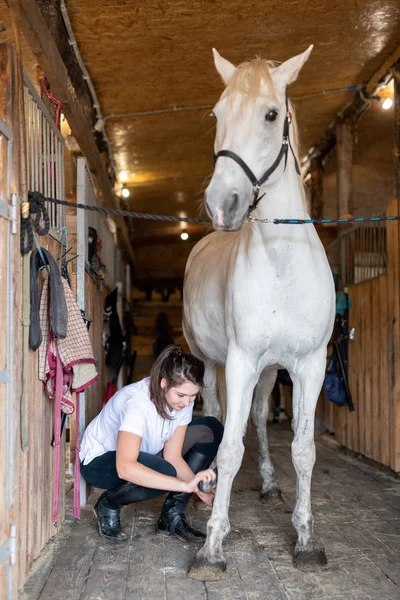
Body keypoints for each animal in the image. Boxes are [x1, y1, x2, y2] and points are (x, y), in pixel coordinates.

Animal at [183, 44, 336, 580]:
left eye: (271, 114)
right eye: (216, 115)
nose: (222, 204)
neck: (282, 261)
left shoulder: (309, 365)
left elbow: (304, 451)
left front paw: (307, 540)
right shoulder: (240, 360)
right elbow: (229, 450)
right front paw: (212, 548)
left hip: (271, 371)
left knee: (257, 416)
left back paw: (269, 484)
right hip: (211, 362)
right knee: (213, 412)